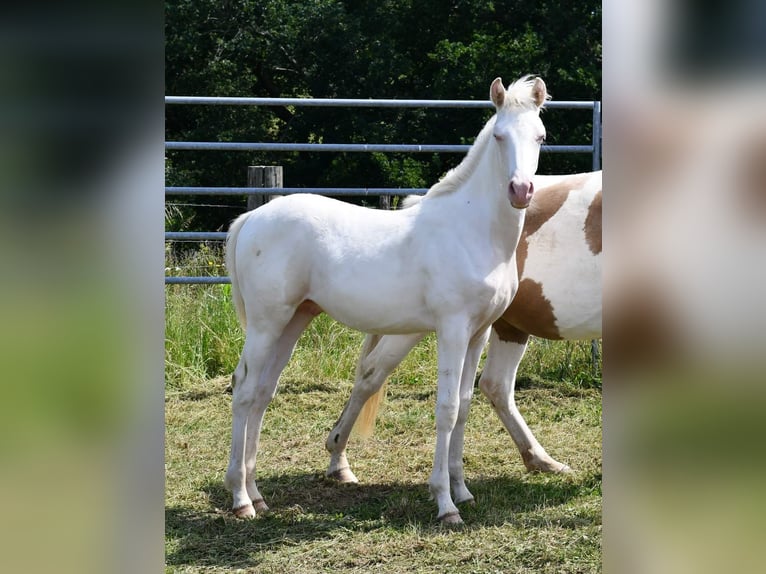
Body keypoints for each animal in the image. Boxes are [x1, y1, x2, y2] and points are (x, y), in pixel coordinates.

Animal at [225, 76, 548, 528]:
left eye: (540, 136)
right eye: (500, 136)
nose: (520, 191)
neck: (472, 230)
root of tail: (252, 219)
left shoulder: (478, 333)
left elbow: (465, 406)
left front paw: (463, 491)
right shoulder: (451, 329)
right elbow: (447, 407)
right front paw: (445, 504)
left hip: (293, 320)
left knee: (261, 392)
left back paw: (256, 494)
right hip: (265, 323)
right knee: (243, 390)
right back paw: (240, 499)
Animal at [328, 171, 604, 500]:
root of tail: (423, 202)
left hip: (509, 327)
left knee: (495, 386)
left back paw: (541, 460)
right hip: (417, 327)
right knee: (371, 373)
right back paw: (338, 459)